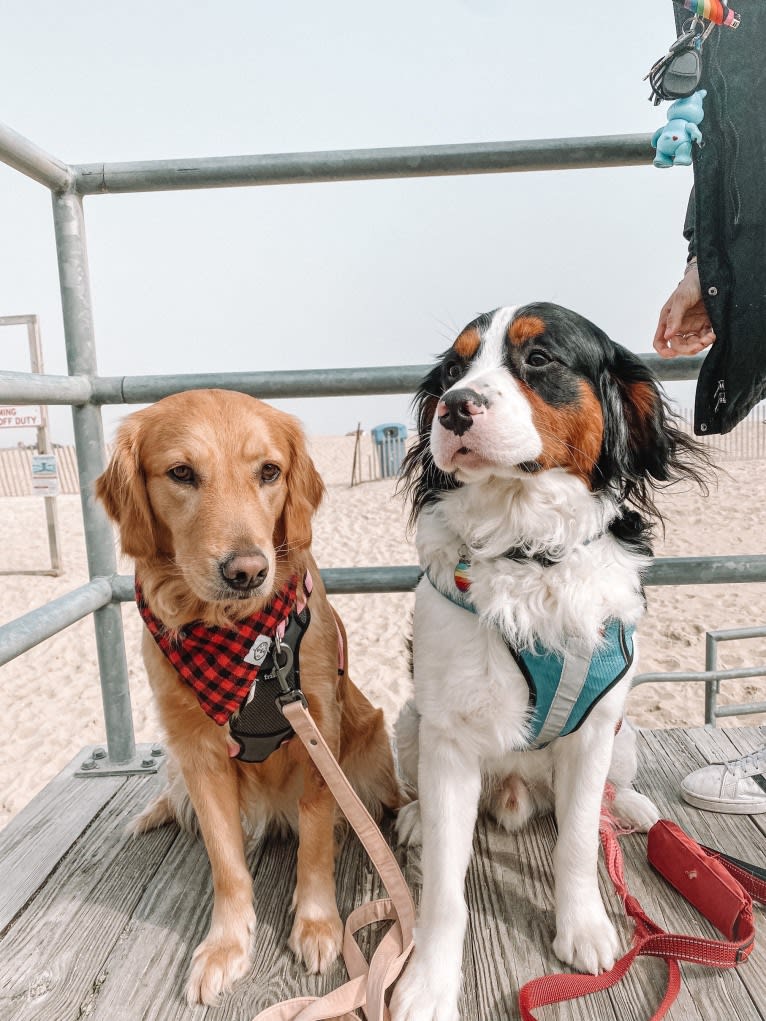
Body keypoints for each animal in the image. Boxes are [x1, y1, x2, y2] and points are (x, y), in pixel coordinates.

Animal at [97, 387, 402, 1004]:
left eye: (269, 471)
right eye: (181, 473)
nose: (247, 571)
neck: (244, 644)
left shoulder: (318, 729)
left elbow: (317, 839)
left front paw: (317, 923)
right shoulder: (196, 753)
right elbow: (226, 862)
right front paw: (225, 947)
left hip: (369, 747)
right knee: (179, 801)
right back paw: (154, 812)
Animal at [390, 302, 706, 1021]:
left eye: (538, 359)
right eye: (453, 369)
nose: (452, 407)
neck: (528, 551)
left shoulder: (593, 730)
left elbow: (578, 843)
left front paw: (584, 927)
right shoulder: (448, 737)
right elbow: (444, 889)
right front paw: (428, 984)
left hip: (624, 732)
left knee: (604, 801)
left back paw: (633, 807)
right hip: (410, 722)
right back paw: (417, 815)